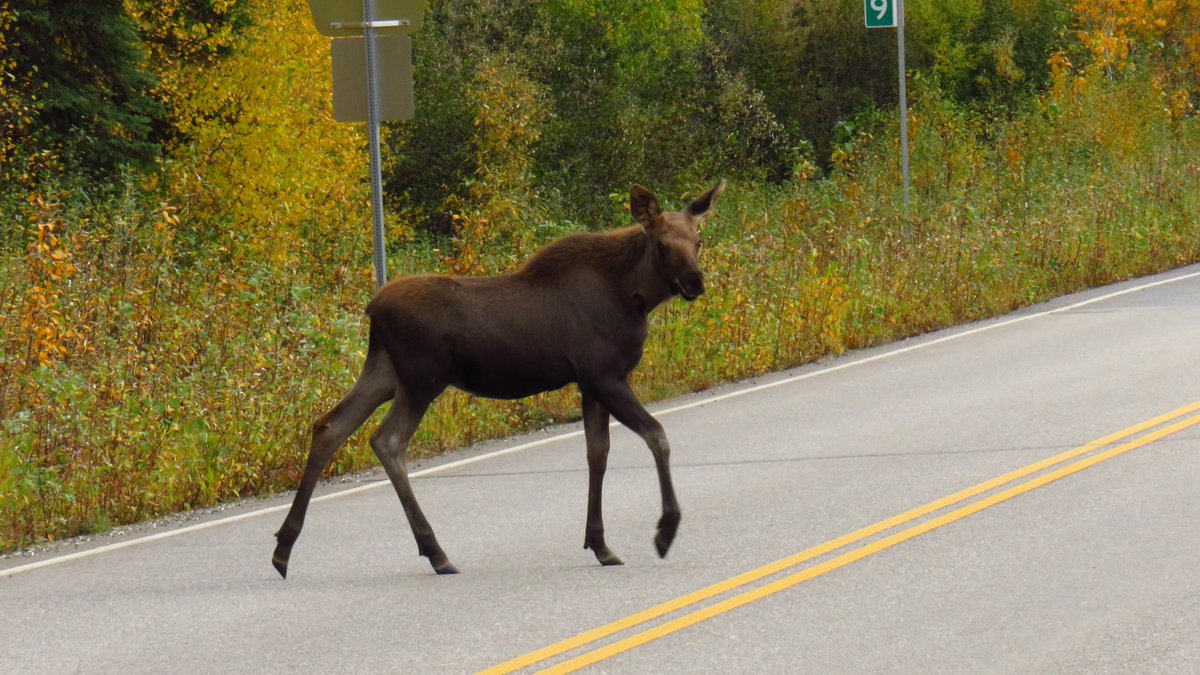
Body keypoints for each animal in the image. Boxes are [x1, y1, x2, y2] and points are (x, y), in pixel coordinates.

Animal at [272, 178, 720, 571]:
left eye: (698, 242)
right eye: (662, 245)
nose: (694, 282)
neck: (635, 297)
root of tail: (372, 308)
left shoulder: (591, 383)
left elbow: (598, 453)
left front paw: (600, 544)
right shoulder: (604, 375)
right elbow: (656, 436)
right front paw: (664, 531)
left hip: (384, 373)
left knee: (330, 426)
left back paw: (283, 548)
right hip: (421, 379)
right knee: (387, 441)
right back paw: (436, 552)